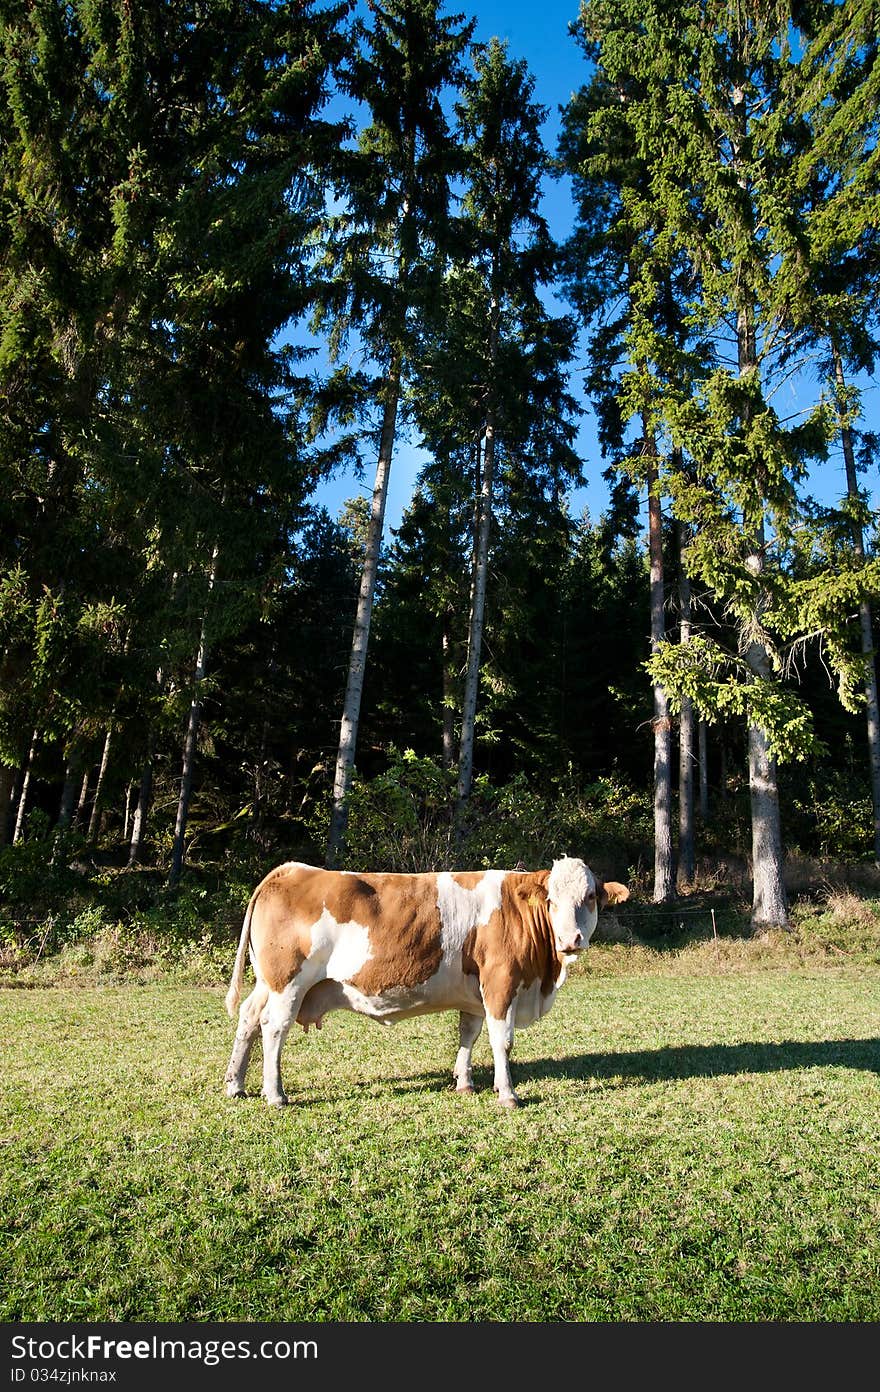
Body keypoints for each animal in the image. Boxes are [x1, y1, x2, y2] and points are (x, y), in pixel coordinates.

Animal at [222, 846, 629, 1108]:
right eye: (551, 901)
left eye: (590, 897)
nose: (571, 940)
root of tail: (291, 869)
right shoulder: (501, 981)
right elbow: (502, 1041)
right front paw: (508, 1094)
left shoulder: (475, 990)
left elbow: (468, 1033)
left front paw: (464, 1083)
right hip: (288, 983)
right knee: (274, 1027)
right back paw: (275, 1095)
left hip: (267, 982)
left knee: (248, 1018)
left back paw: (235, 1085)